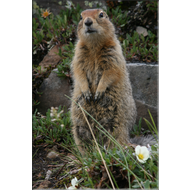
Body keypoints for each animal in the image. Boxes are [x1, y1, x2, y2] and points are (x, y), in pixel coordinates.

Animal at [70, 9, 137, 154]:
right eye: (81, 17)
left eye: (101, 14)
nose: (87, 22)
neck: (94, 46)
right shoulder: (78, 54)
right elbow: (78, 71)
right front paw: (87, 92)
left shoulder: (113, 54)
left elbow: (110, 73)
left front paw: (98, 92)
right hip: (78, 125)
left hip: (118, 127)